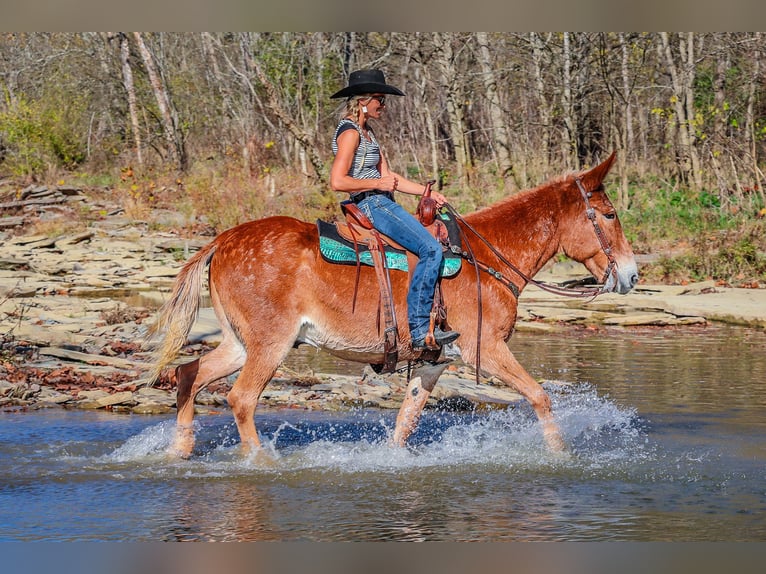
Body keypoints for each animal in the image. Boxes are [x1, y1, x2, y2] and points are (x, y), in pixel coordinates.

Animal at [147, 151, 638, 458]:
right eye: (610, 215)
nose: (632, 275)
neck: (486, 257)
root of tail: (223, 239)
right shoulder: (486, 349)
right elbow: (539, 396)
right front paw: (560, 455)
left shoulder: (434, 362)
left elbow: (405, 422)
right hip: (271, 344)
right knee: (242, 399)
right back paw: (260, 462)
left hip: (238, 343)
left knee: (189, 375)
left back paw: (179, 451)